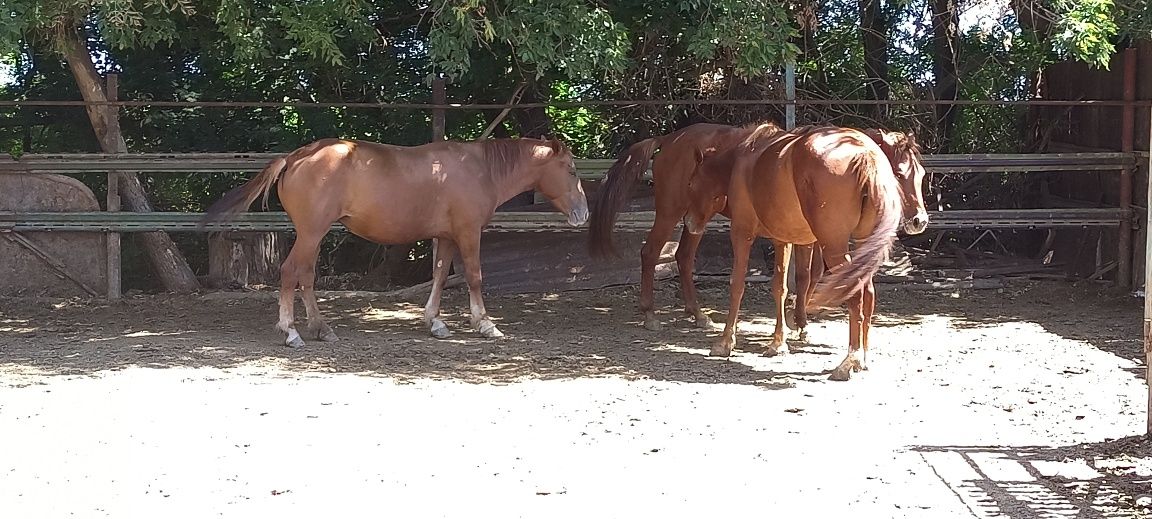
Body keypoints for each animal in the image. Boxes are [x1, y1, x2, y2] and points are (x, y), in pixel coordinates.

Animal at [198, 136, 589, 347]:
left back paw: (322, 328)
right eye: (571, 170)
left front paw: (436, 323)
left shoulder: (446, 237)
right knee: (291, 271)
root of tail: (297, 156)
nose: (583, 213)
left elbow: (440, 276)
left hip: (314, 235)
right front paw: (486, 324)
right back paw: (291, 332)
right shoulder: (467, 232)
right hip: (311, 232)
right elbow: (475, 277)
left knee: (305, 276)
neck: (479, 169)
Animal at [681, 123, 926, 379]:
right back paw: (863, 357)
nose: (689, 222)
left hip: (835, 247)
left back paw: (849, 361)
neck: (744, 159)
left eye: (691, 184)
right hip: (860, 246)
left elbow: (737, 284)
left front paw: (726, 341)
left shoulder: (742, 233)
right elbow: (781, 287)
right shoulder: (783, 240)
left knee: (855, 295)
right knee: (866, 293)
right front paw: (779, 342)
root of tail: (864, 153)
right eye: (901, 175)